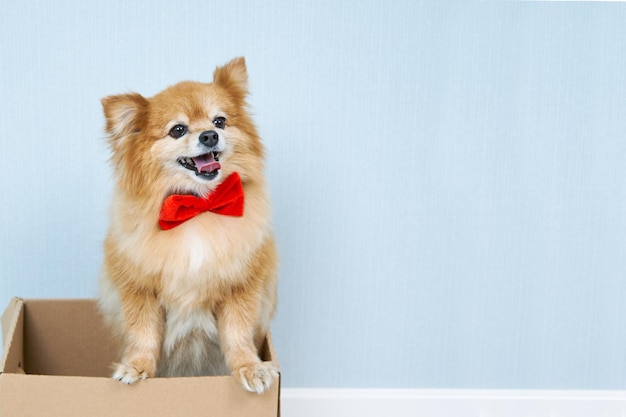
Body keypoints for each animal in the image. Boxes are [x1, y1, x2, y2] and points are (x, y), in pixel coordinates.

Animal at [98, 56, 278, 394]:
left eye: (219, 121)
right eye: (177, 130)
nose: (209, 135)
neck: (197, 207)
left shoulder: (240, 287)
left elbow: (238, 334)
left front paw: (250, 368)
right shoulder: (139, 289)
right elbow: (143, 333)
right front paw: (136, 367)